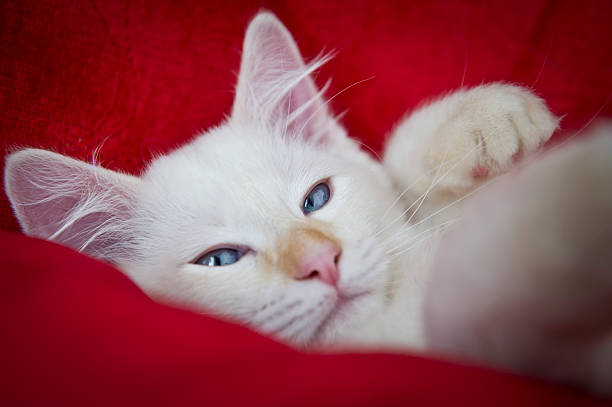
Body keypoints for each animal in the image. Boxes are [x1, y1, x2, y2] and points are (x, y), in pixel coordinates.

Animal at [4, 12, 612, 396]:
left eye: (315, 199)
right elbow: (476, 280)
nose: (322, 262)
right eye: (221, 259)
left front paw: (485, 119)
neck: (387, 327)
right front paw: (569, 204)